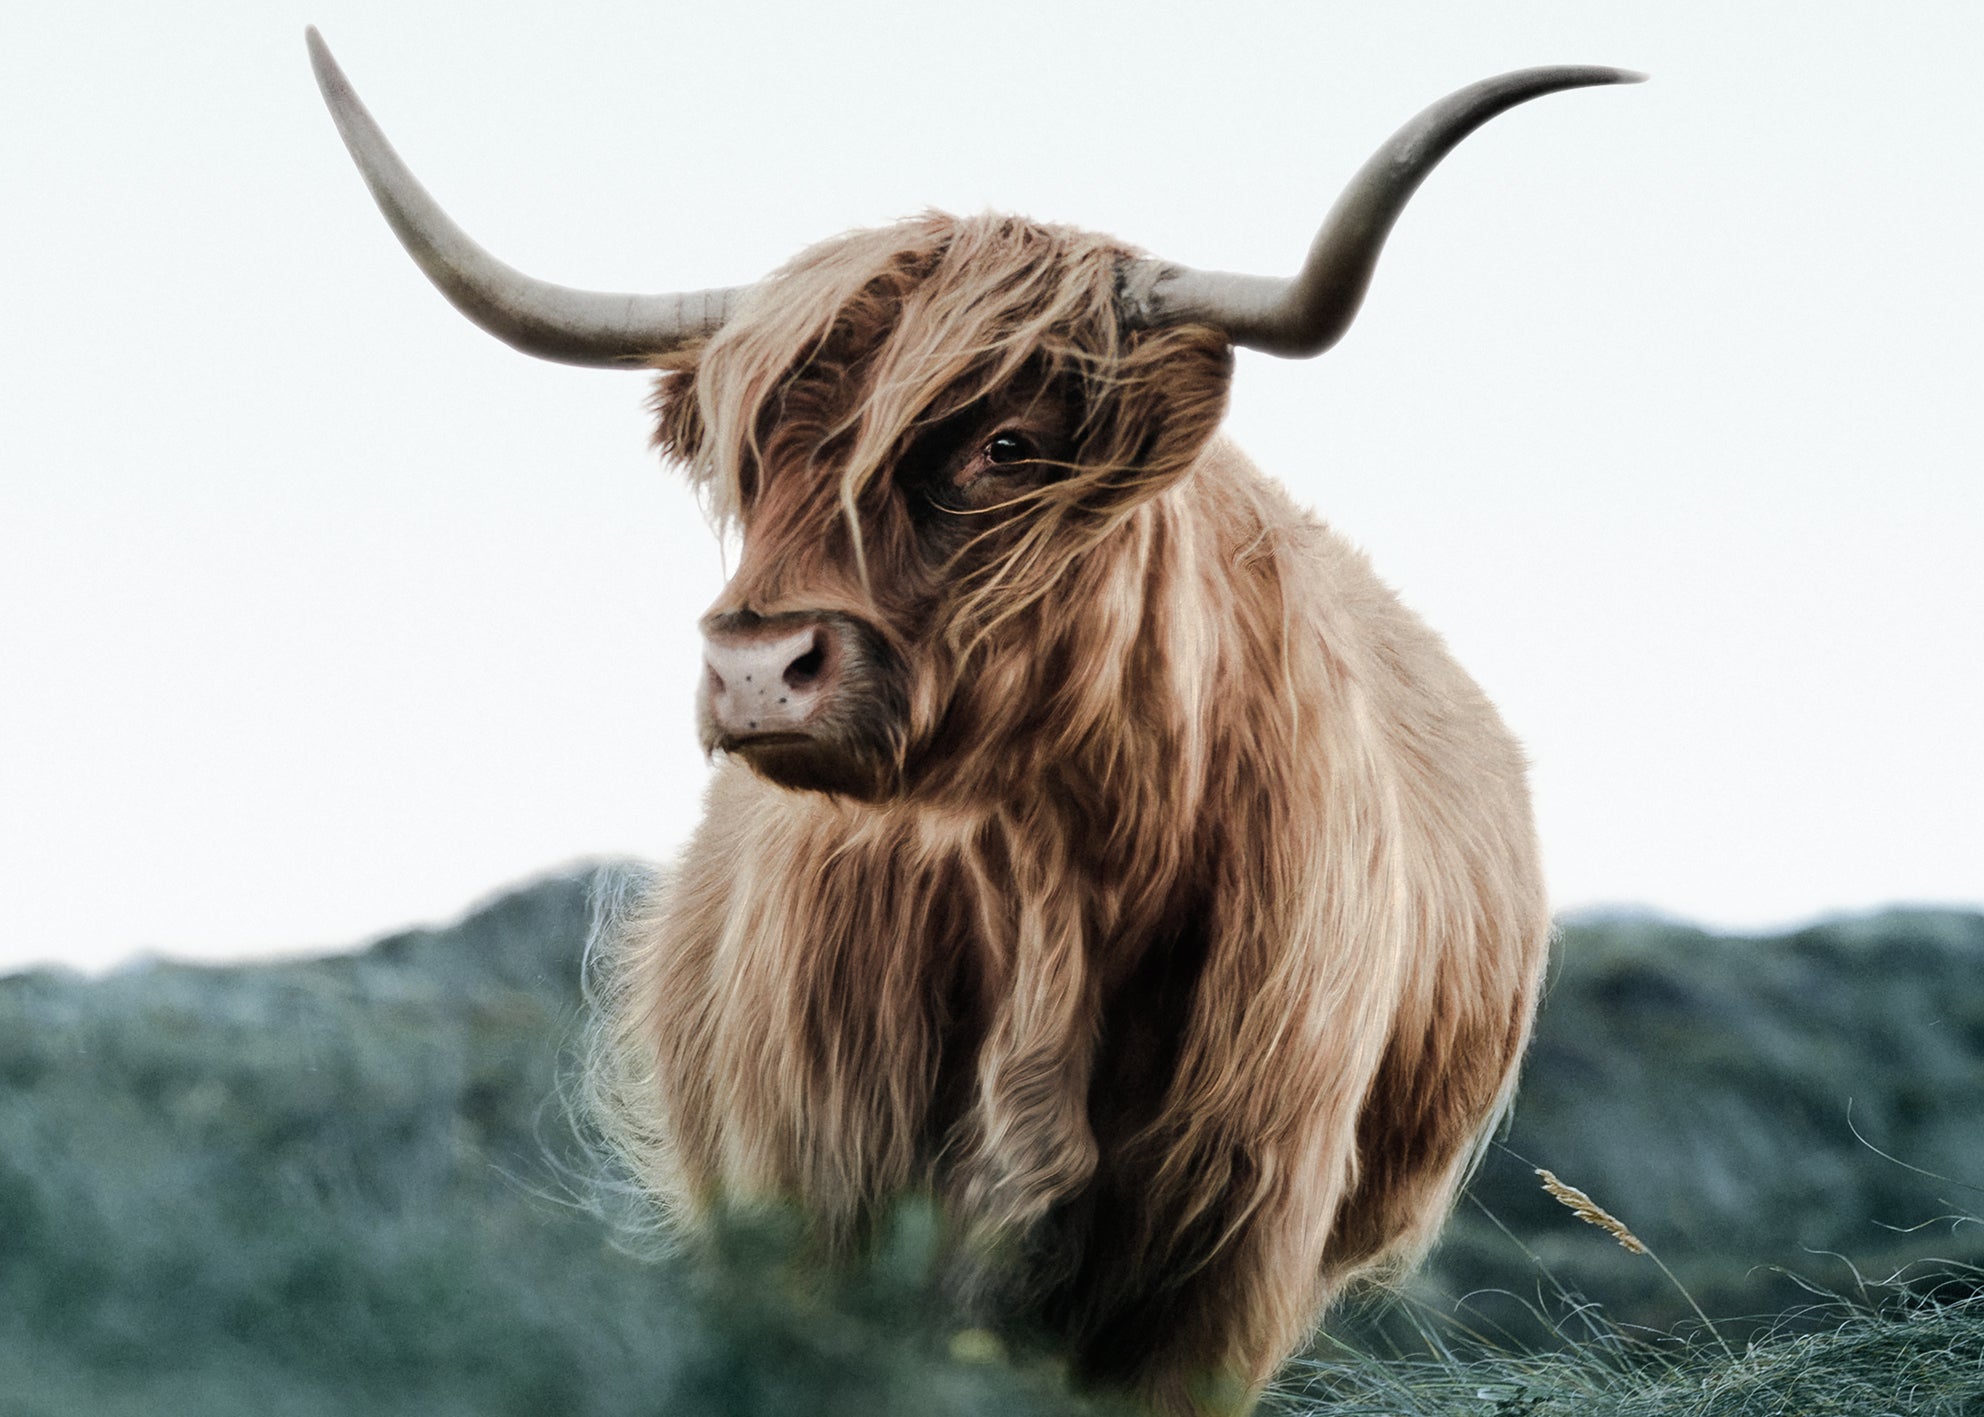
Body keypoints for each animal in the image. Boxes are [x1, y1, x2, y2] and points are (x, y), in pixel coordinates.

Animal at [307, 30, 1636, 1415]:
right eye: (751, 463)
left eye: (1006, 446)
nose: (755, 667)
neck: (1041, 868)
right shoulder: (809, 1196)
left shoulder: (1229, 1255)